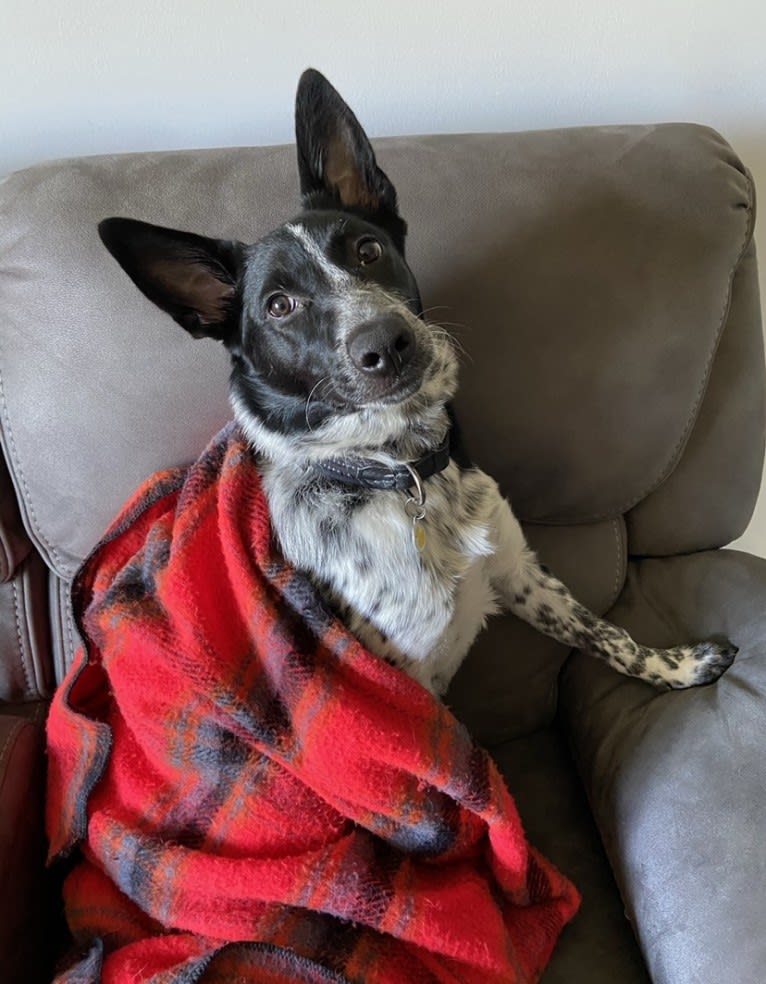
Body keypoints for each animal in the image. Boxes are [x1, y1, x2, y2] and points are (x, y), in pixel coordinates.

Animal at [97, 67, 736, 700]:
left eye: (368, 249)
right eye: (279, 305)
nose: (386, 342)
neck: (399, 470)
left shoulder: (519, 569)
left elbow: (605, 634)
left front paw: (674, 666)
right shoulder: (400, 680)